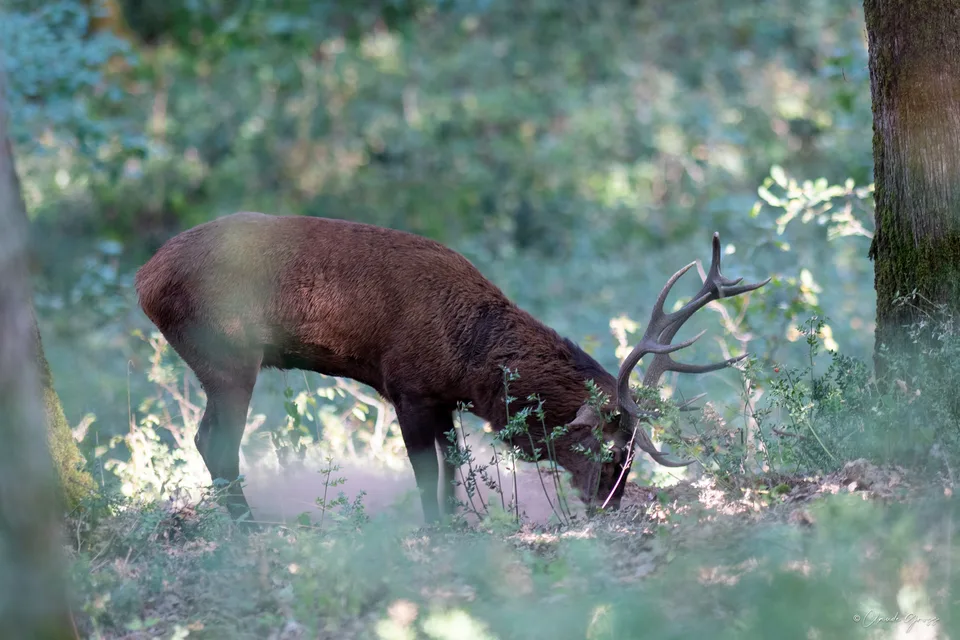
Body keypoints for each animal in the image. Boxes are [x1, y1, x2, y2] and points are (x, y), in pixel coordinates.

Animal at [135, 211, 769, 524]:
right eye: (609, 448)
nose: (608, 502)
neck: (469, 363)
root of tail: (143, 279)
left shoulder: (441, 400)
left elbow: (453, 465)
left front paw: (458, 521)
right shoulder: (406, 386)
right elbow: (424, 470)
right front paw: (433, 529)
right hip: (227, 353)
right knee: (214, 439)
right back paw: (249, 526)